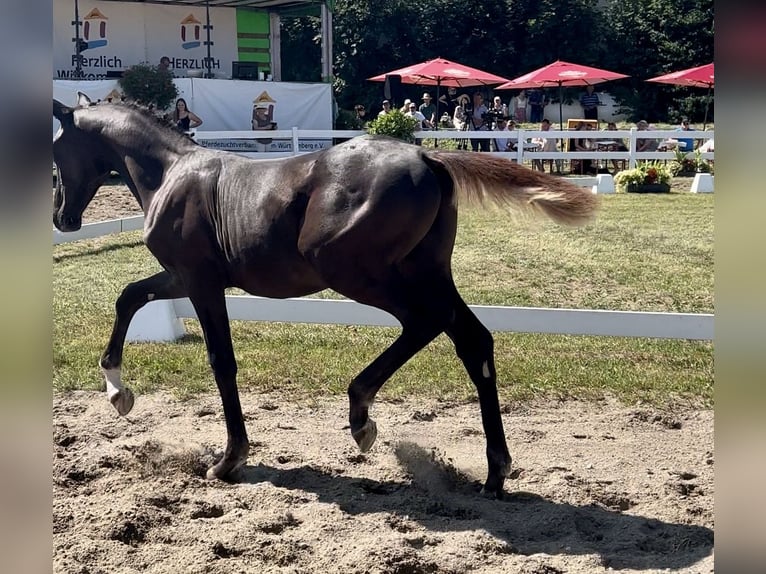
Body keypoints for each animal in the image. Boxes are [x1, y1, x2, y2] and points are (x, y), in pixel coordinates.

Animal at [54, 94, 604, 500]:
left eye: (57, 155)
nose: (63, 218)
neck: (171, 172)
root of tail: (427, 156)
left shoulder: (200, 280)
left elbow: (221, 361)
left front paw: (229, 459)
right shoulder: (180, 277)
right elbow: (129, 297)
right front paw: (118, 393)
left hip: (354, 273)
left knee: (427, 321)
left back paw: (361, 415)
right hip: (426, 270)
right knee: (472, 339)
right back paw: (494, 473)